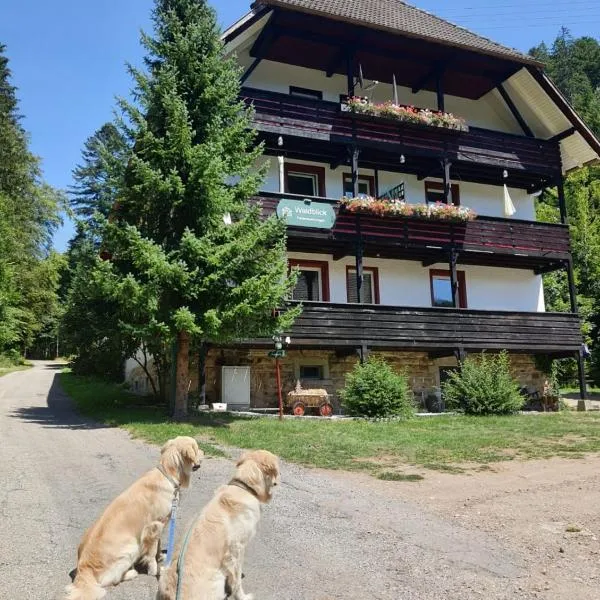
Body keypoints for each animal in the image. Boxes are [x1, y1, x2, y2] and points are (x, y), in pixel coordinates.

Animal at [64, 436, 203, 600]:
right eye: (197, 448)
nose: (203, 452)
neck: (168, 475)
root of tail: (84, 568)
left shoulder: (160, 526)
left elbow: (157, 547)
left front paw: (160, 557)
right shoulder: (154, 526)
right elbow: (151, 552)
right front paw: (156, 570)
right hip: (131, 547)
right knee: (112, 580)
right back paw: (132, 572)